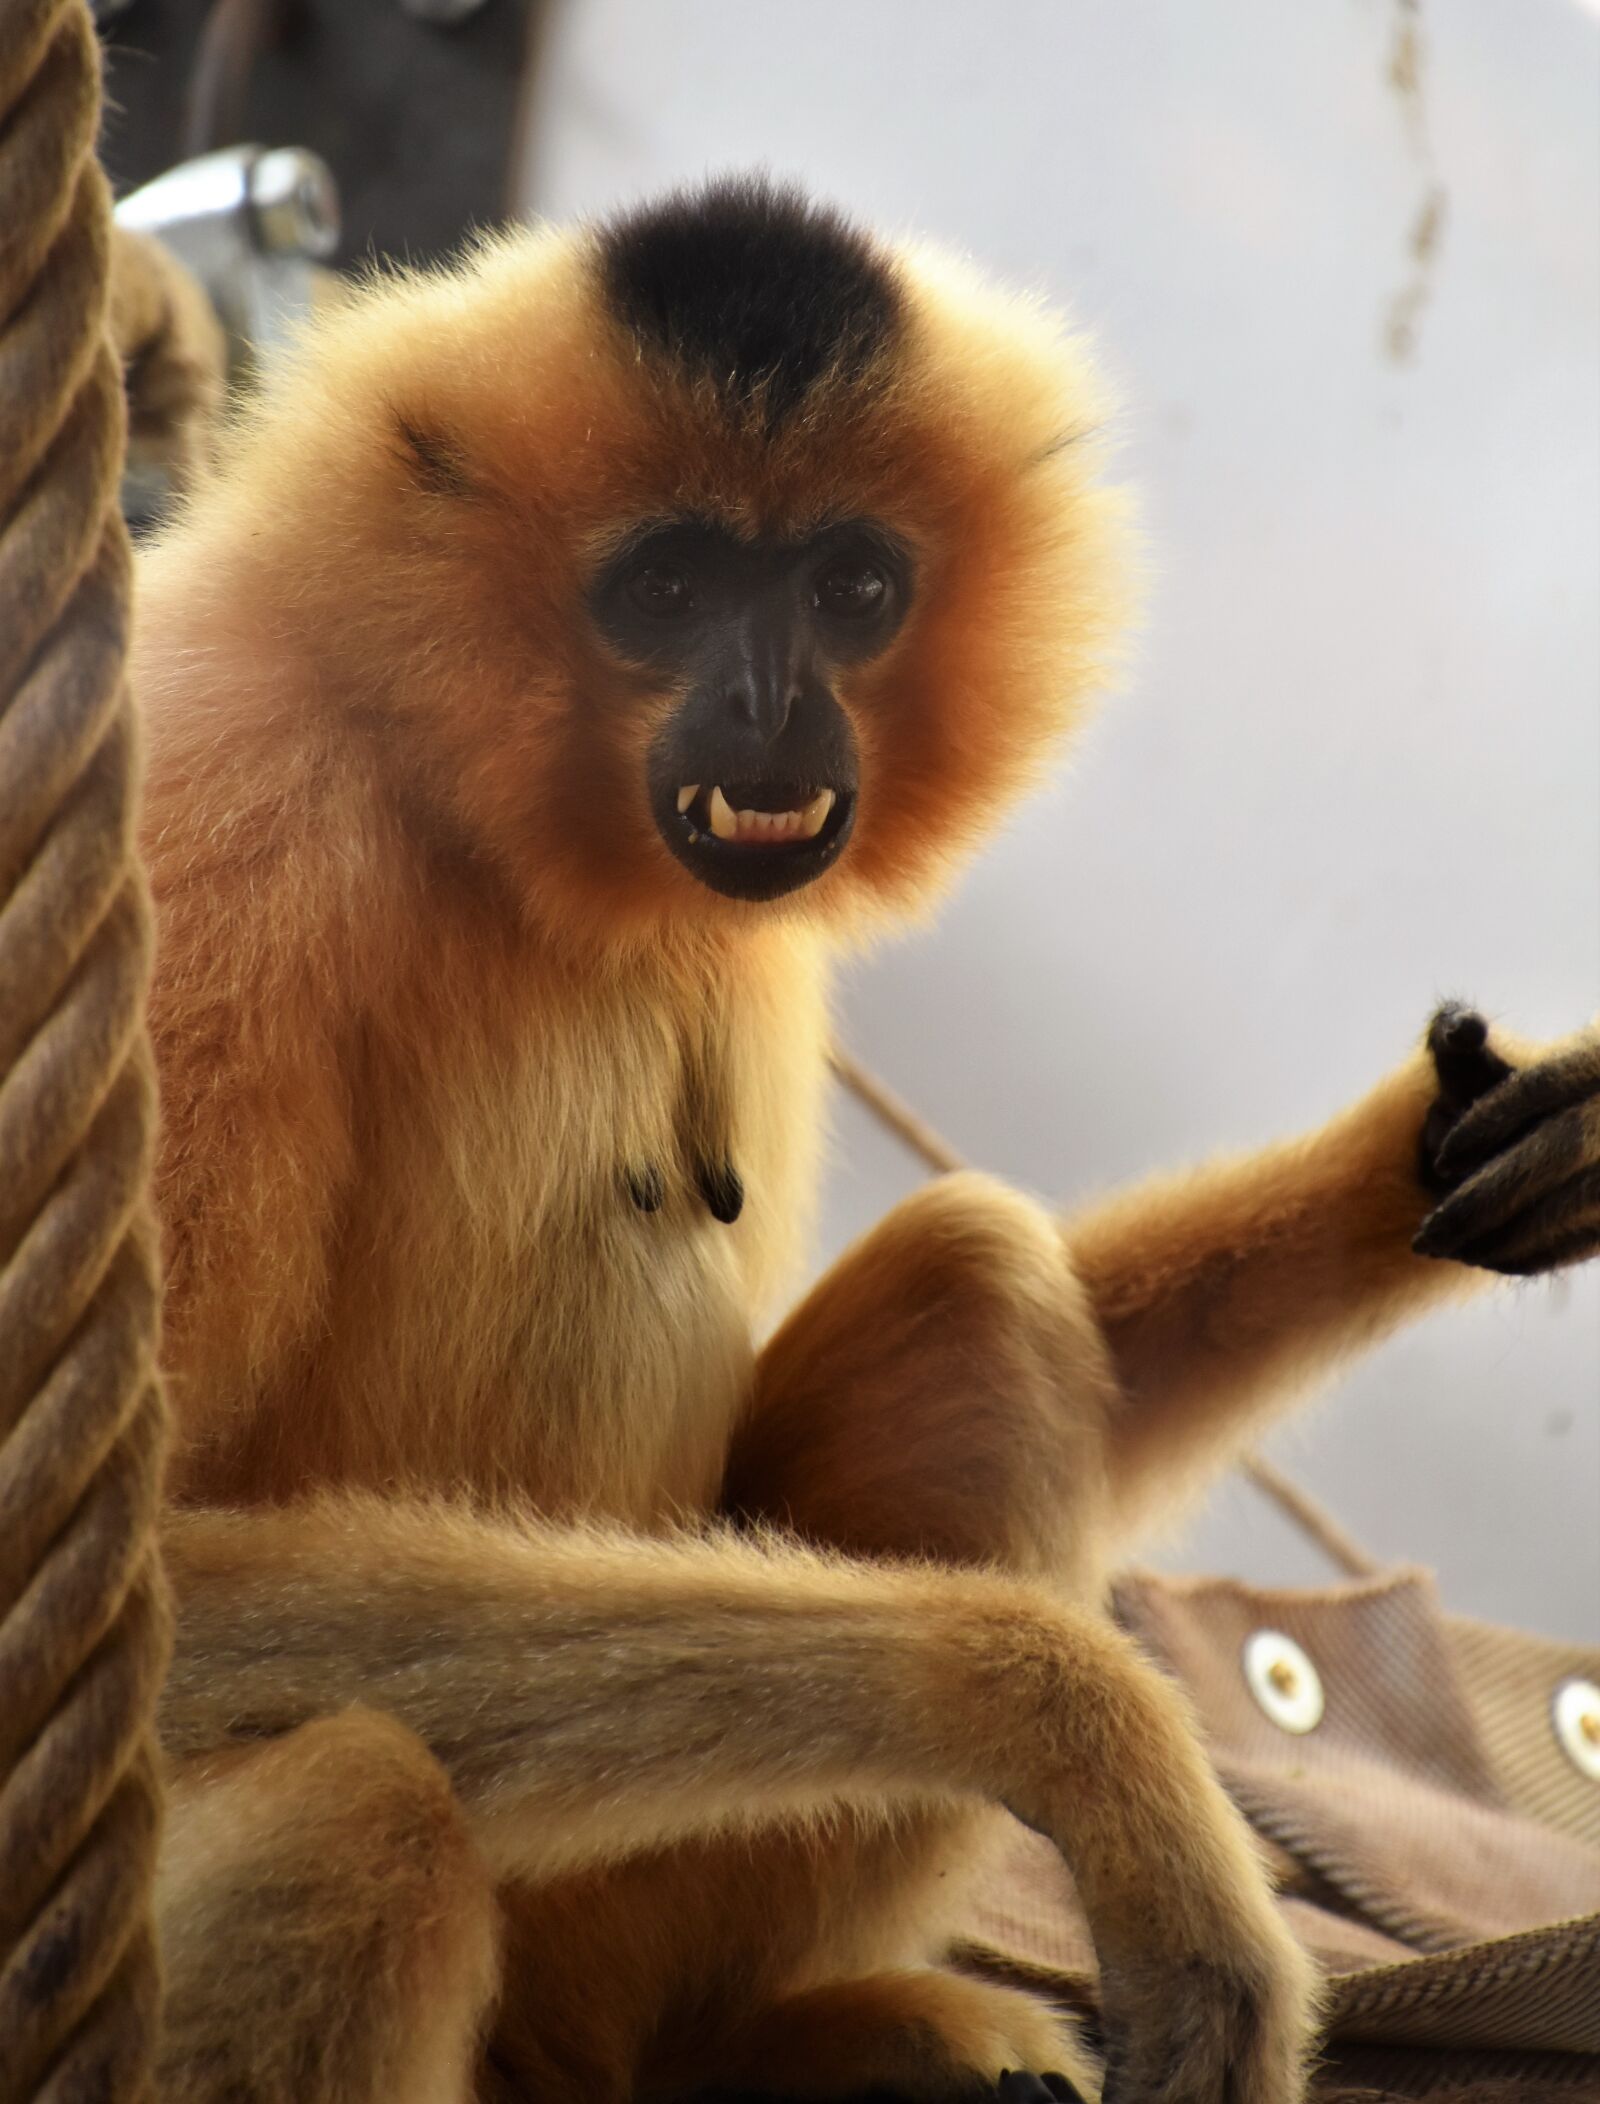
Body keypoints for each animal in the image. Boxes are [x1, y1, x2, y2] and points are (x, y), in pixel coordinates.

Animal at [126, 177, 1600, 2104]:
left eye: (852, 586)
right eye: (668, 586)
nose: (767, 703)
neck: (463, 799)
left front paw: (1455, 1147)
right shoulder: (219, 832)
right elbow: (164, 1577)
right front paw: (1064, 1715)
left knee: (982, 1281)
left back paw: (772, 2042)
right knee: (352, 1811)